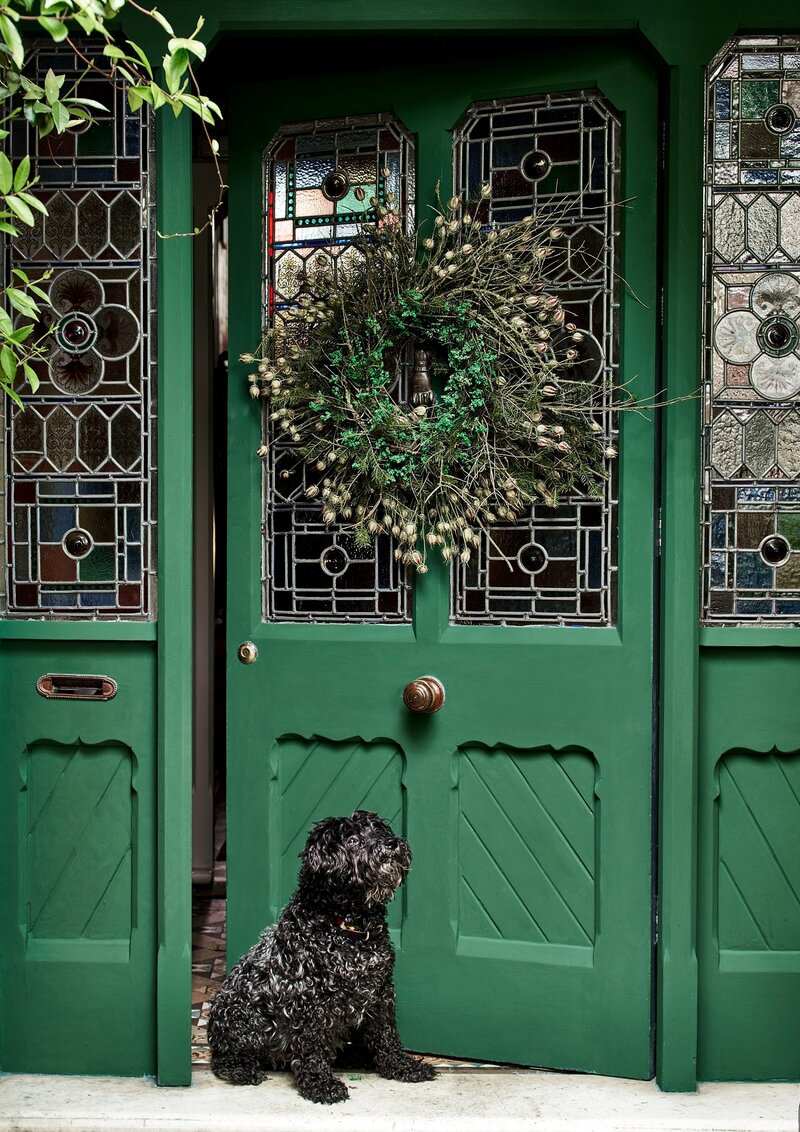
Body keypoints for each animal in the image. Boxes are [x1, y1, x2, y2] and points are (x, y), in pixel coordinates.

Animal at [203, 810, 434, 1100]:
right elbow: (313, 1047)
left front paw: (401, 1066)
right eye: (353, 840)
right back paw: (241, 1070)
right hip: (243, 1015)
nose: (391, 843)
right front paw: (320, 1084)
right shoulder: (310, 1001)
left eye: (378, 830)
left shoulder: (381, 993)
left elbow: (387, 1036)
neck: (349, 928)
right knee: (226, 1059)